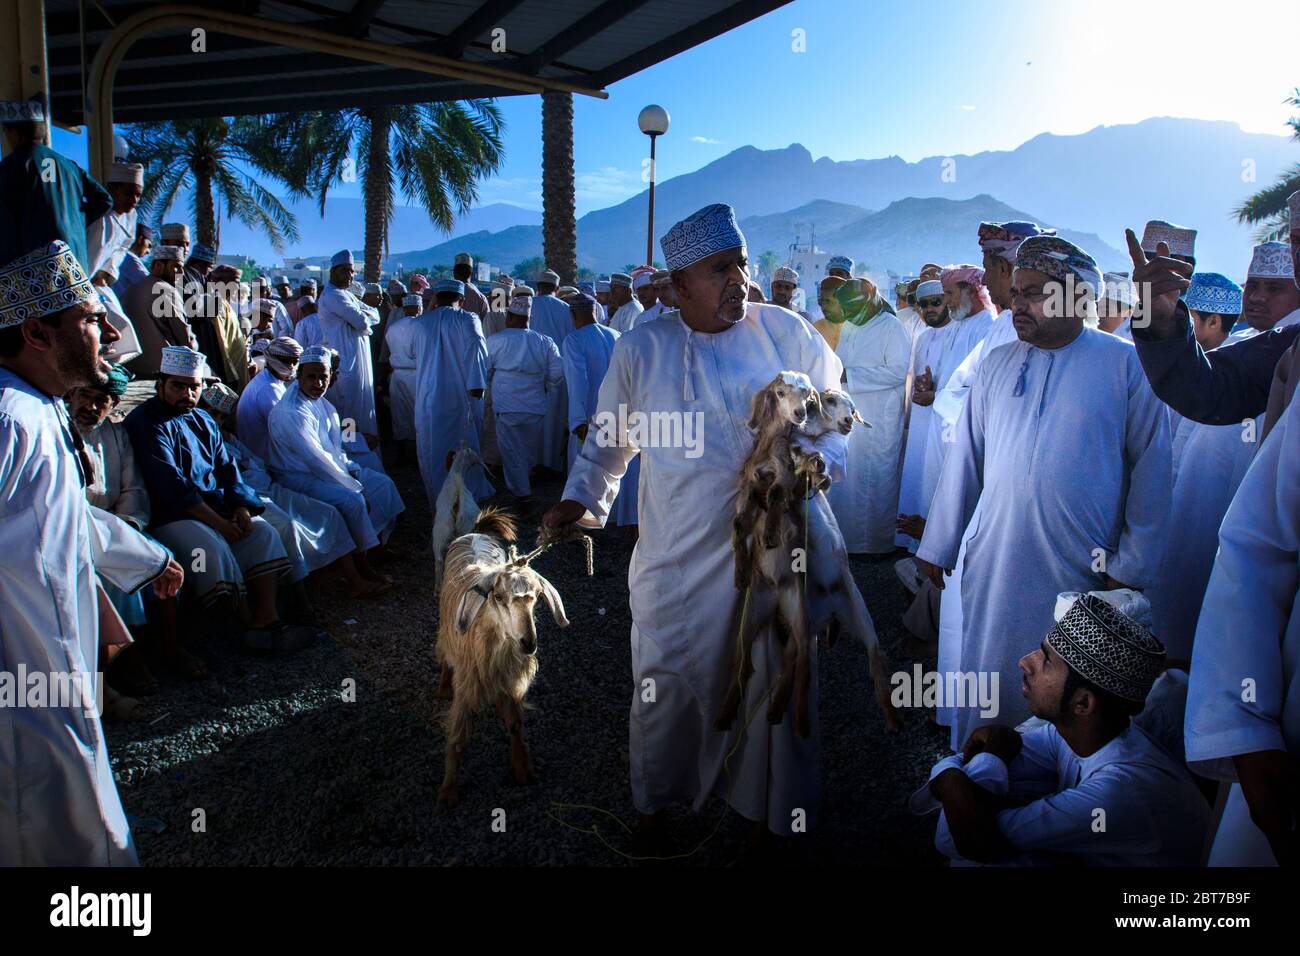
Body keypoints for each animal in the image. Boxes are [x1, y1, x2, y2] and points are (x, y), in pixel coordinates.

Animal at [436, 509, 569, 806]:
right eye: (497, 596)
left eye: (538, 597)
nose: (528, 642)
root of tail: (475, 532)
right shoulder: (467, 685)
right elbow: (458, 739)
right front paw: (449, 790)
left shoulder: (512, 680)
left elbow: (516, 725)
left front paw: (522, 768)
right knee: (444, 652)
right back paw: (443, 685)